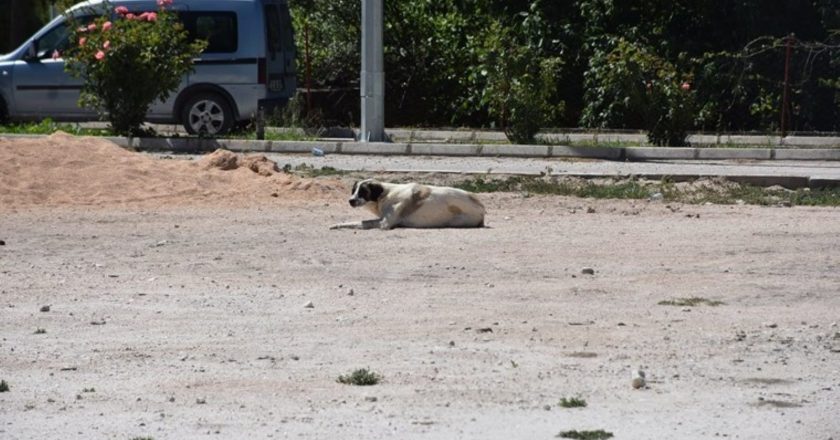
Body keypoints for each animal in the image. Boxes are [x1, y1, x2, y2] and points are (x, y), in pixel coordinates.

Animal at [328, 179, 486, 230]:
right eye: (353, 191)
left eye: (363, 192)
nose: (350, 200)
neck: (385, 195)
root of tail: (481, 207)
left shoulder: (384, 224)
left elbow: (359, 222)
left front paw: (337, 225)